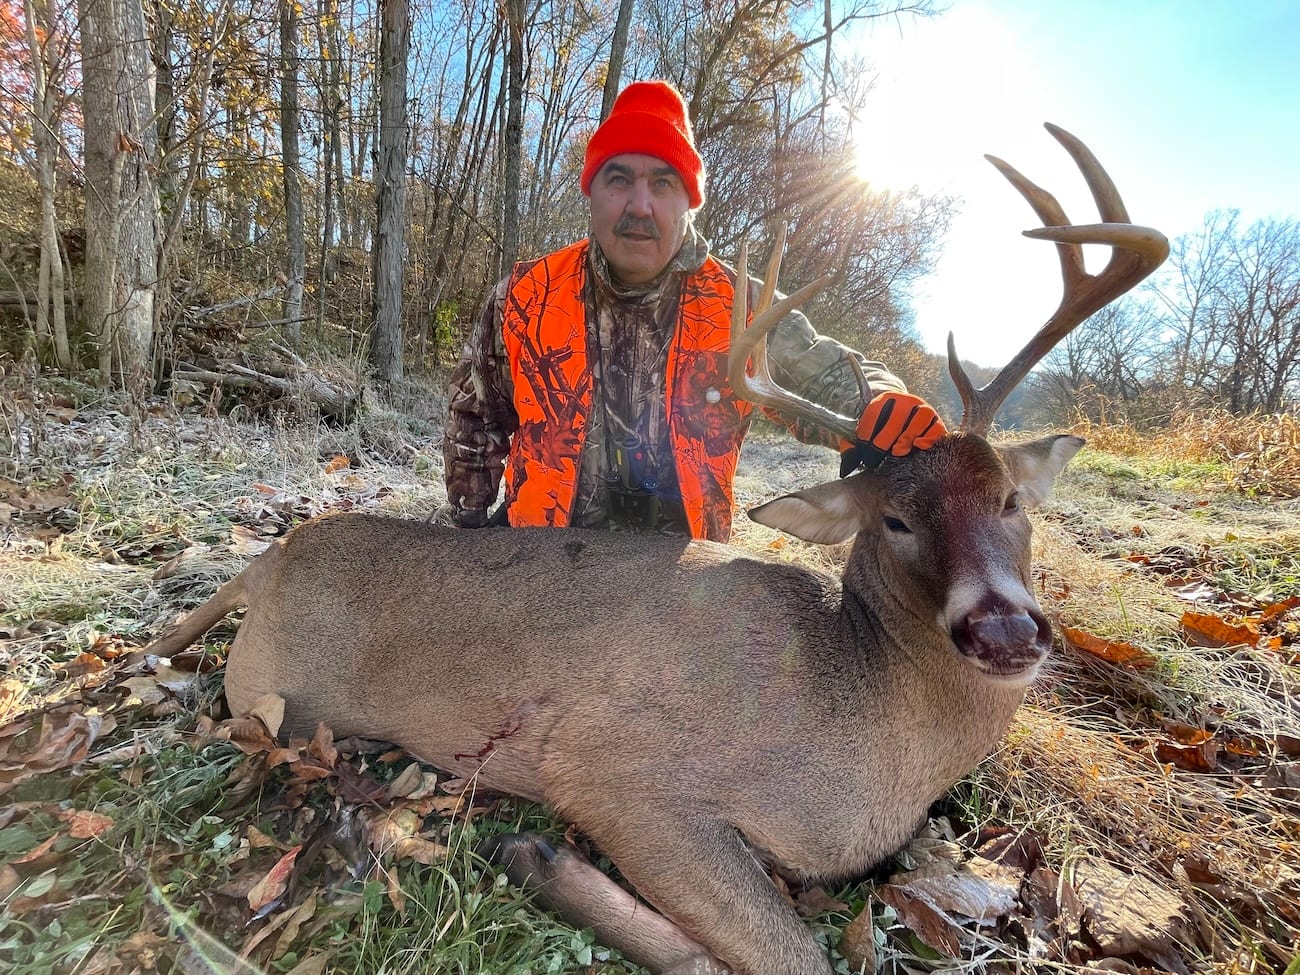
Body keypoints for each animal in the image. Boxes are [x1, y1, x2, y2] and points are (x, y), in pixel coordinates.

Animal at [146, 125, 1167, 975]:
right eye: (896, 520)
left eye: (1010, 499)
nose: (1005, 630)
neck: (863, 718)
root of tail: (271, 555)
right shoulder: (616, 768)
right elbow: (791, 955)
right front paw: (535, 855)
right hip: (279, 694)